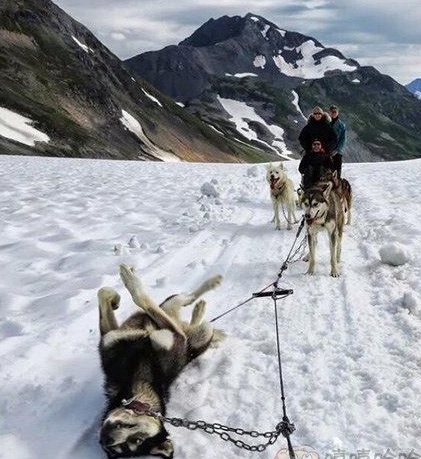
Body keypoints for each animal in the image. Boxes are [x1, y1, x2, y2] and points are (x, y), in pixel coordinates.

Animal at [97, 266, 223, 459]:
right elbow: (103, 293)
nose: (106, 438)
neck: (137, 379)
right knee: (183, 305)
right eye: (117, 448)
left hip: (199, 329)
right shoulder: (111, 338)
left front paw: (129, 283)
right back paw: (198, 310)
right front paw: (115, 298)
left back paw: (208, 289)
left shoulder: (174, 336)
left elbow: (140, 297)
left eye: (137, 440)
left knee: (184, 301)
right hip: (181, 318)